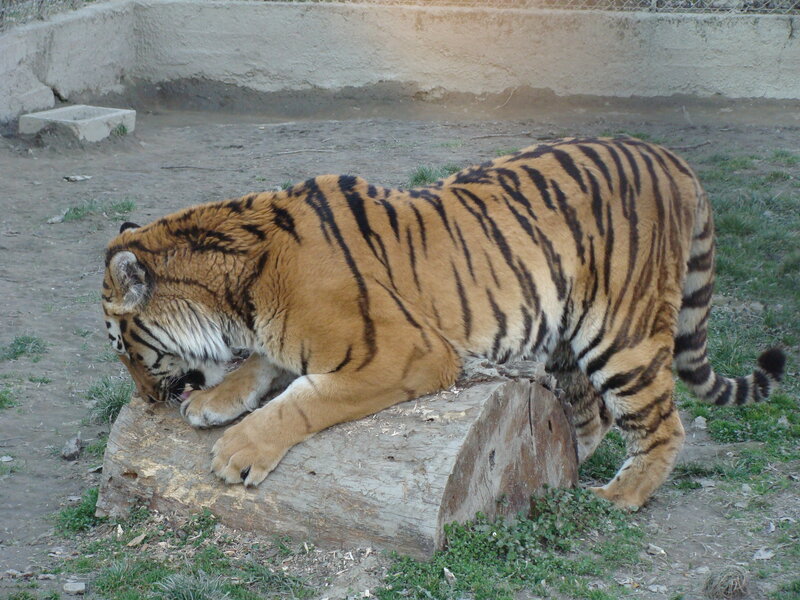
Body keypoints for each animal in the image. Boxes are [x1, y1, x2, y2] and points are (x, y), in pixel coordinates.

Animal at [101, 136, 785, 509]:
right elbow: (261, 368)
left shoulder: (402, 353)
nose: (148, 399)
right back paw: (565, 469)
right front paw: (214, 401)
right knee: (586, 414)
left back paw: (619, 497)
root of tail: (671, 157)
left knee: (662, 424)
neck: (237, 294)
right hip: (568, 333)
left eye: (127, 350)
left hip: (622, 332)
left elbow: (303, 399)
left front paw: (240, 450)